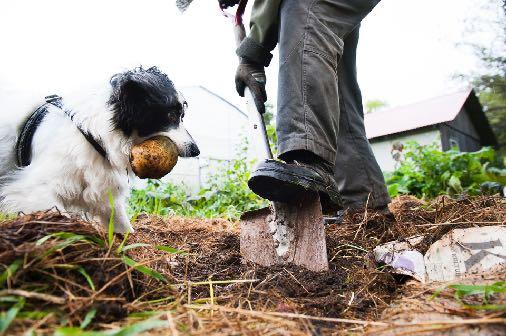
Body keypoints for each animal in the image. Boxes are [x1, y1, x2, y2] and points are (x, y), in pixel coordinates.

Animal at [0, 67, 199, 232]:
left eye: (181, 115)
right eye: (171, 115)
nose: (196, 150)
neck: (91, 135)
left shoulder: (105, 191)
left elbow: (123, 227)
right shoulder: (34, 190)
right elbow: (60, 217)